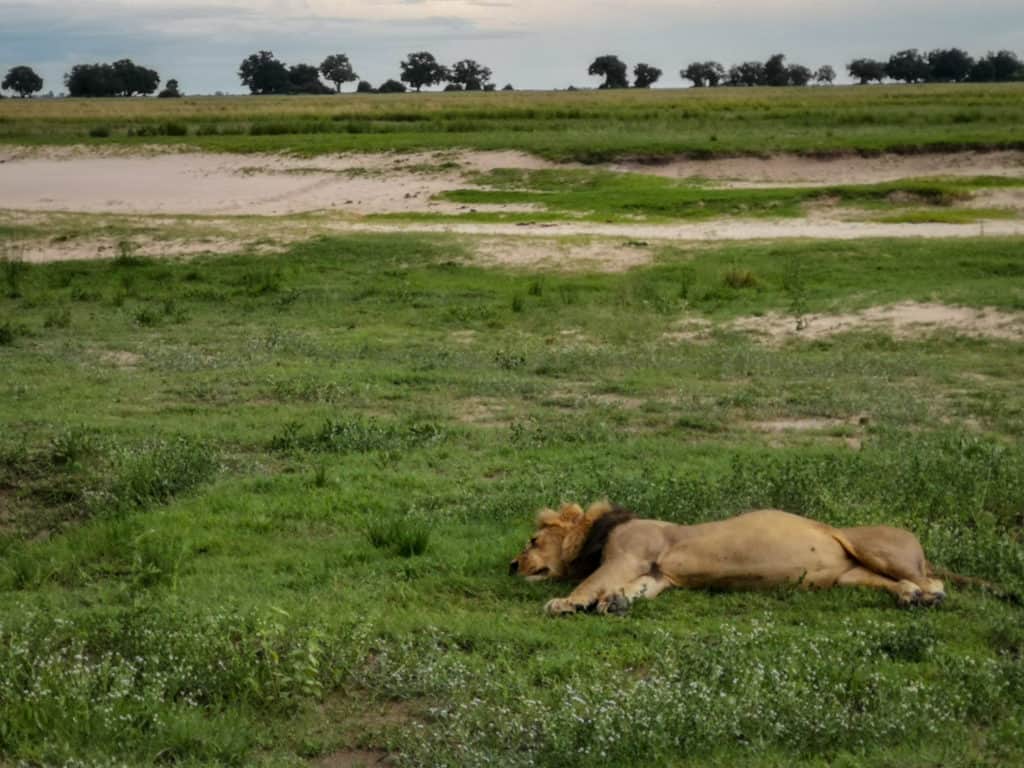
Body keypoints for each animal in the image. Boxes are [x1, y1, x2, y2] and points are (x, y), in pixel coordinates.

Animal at [507, 501, 946, 618]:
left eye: (532, 541)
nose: (511, 566)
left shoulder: (629, 555)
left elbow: (590, 581)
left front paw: (566, 602)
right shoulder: (655, 574)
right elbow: (636, 589)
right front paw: (614, 602)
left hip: (872, 548)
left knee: (934, 582)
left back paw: (928, 597)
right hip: (850, 577)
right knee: (898, 583)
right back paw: (908, 597)